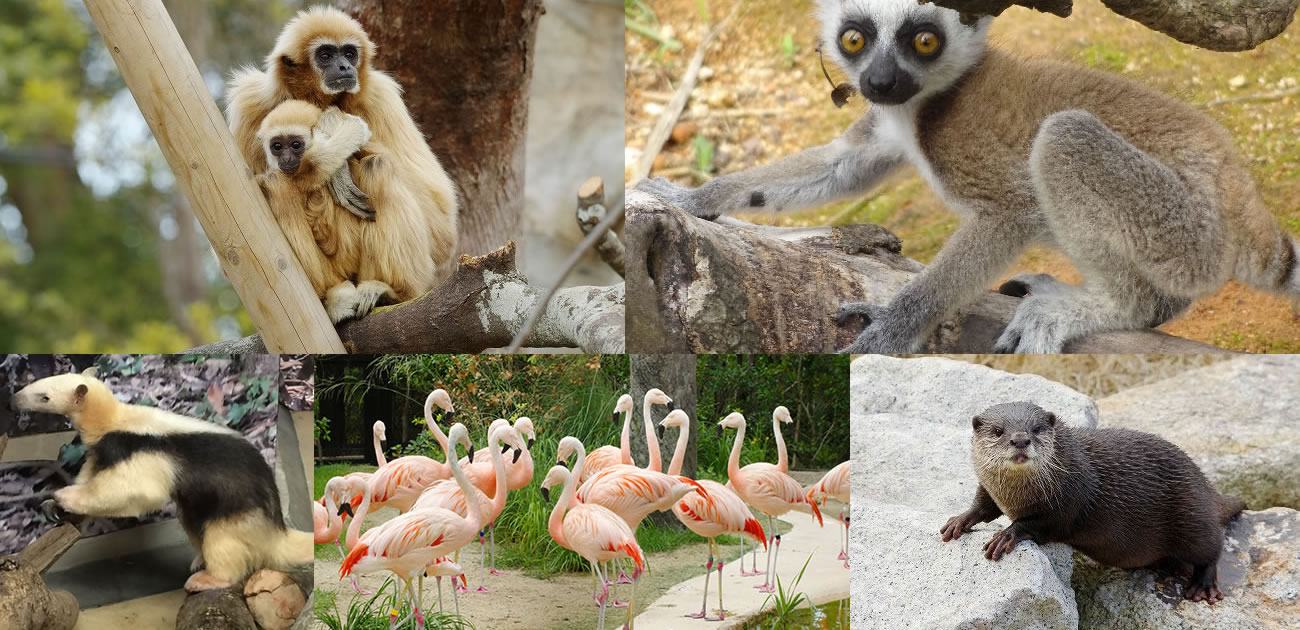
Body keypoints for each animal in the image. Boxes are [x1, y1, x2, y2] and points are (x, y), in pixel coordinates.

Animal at [941, 400, 1242, 602]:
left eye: (1036, 429)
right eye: (998, 431)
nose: (1020, 439)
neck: (1014, 496)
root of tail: (1206, 486)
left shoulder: (1071, 499)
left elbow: (1040, 524)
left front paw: (1006, 535)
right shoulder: (990, 487)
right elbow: (983, 504)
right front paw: (960, 520)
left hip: (1192, 514)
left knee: (1212, 546)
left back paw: (1203, 585)